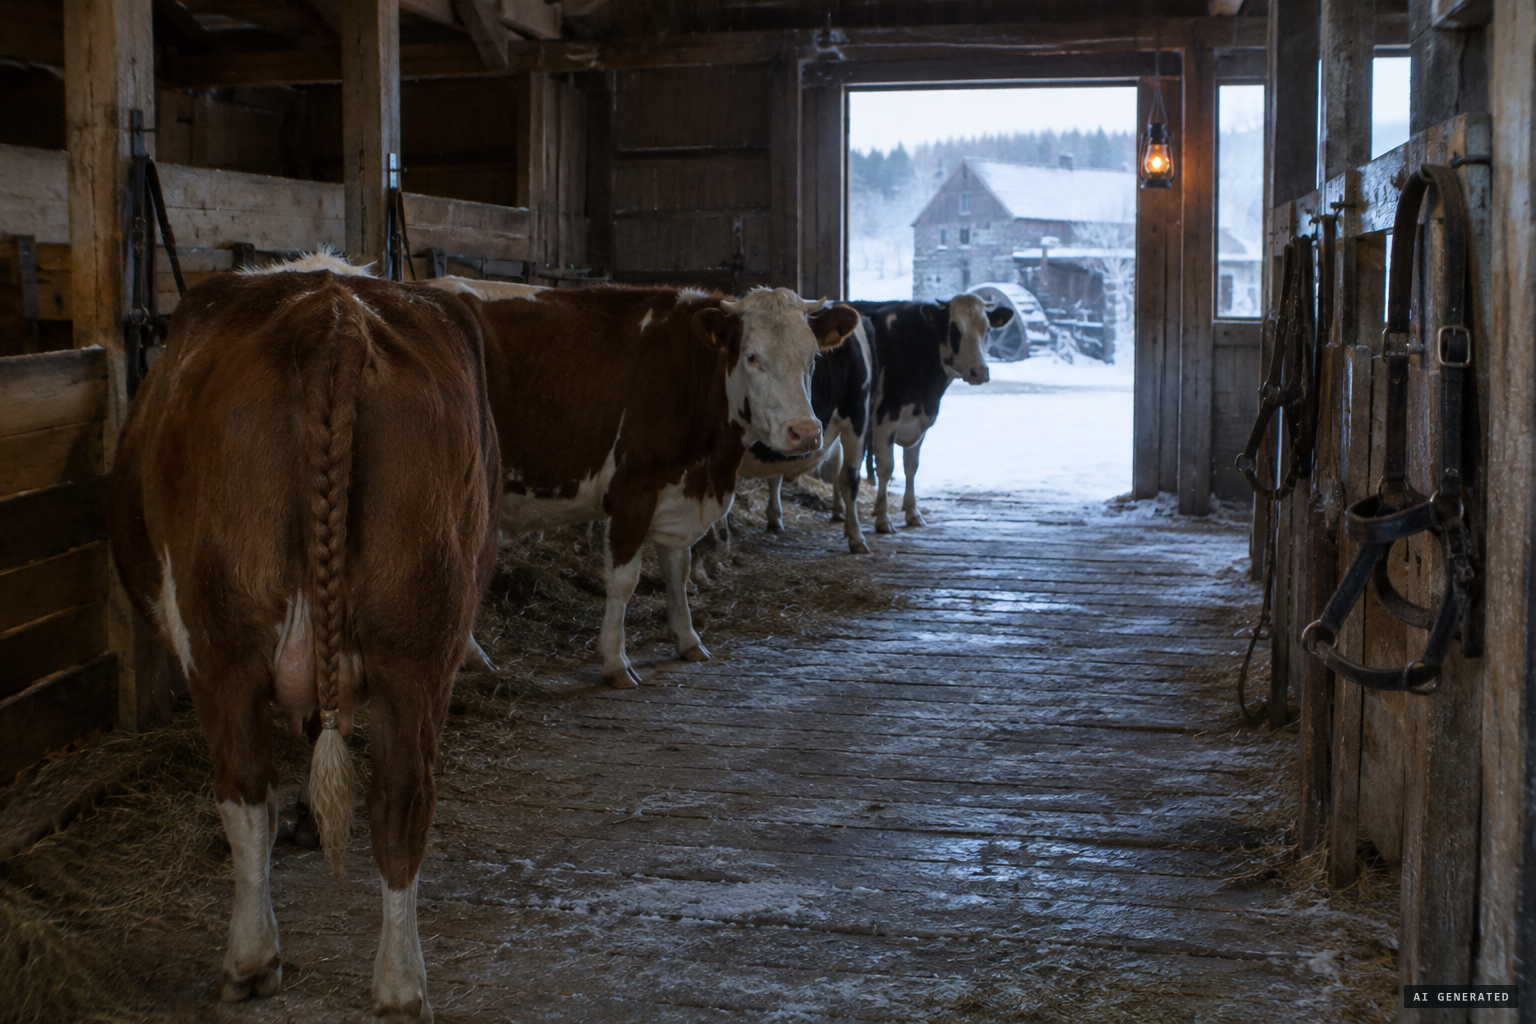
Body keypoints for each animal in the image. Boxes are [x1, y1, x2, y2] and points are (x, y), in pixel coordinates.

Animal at [109, 254, 501, 1022]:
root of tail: (333, 315)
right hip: (420, 640)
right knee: (402, 798)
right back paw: (400, 985)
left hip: (219, 637)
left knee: (244, 790)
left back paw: (252, 957)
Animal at [423, 281, 860, 686]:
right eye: (752, 356)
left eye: (813, 357)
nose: (805, 432)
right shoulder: (632, 492)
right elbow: (623, 581)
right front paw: (616, 661)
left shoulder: (678, 492)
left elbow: (677, 570)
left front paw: (688, 640)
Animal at [851, 295, 1013, 532]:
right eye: (954, 330)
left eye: (988, 330)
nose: (980, 372)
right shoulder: (885, 416)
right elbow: (886, 467)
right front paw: (883, 518)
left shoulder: (920, 422)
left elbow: (911, 467)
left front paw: (912, 513)